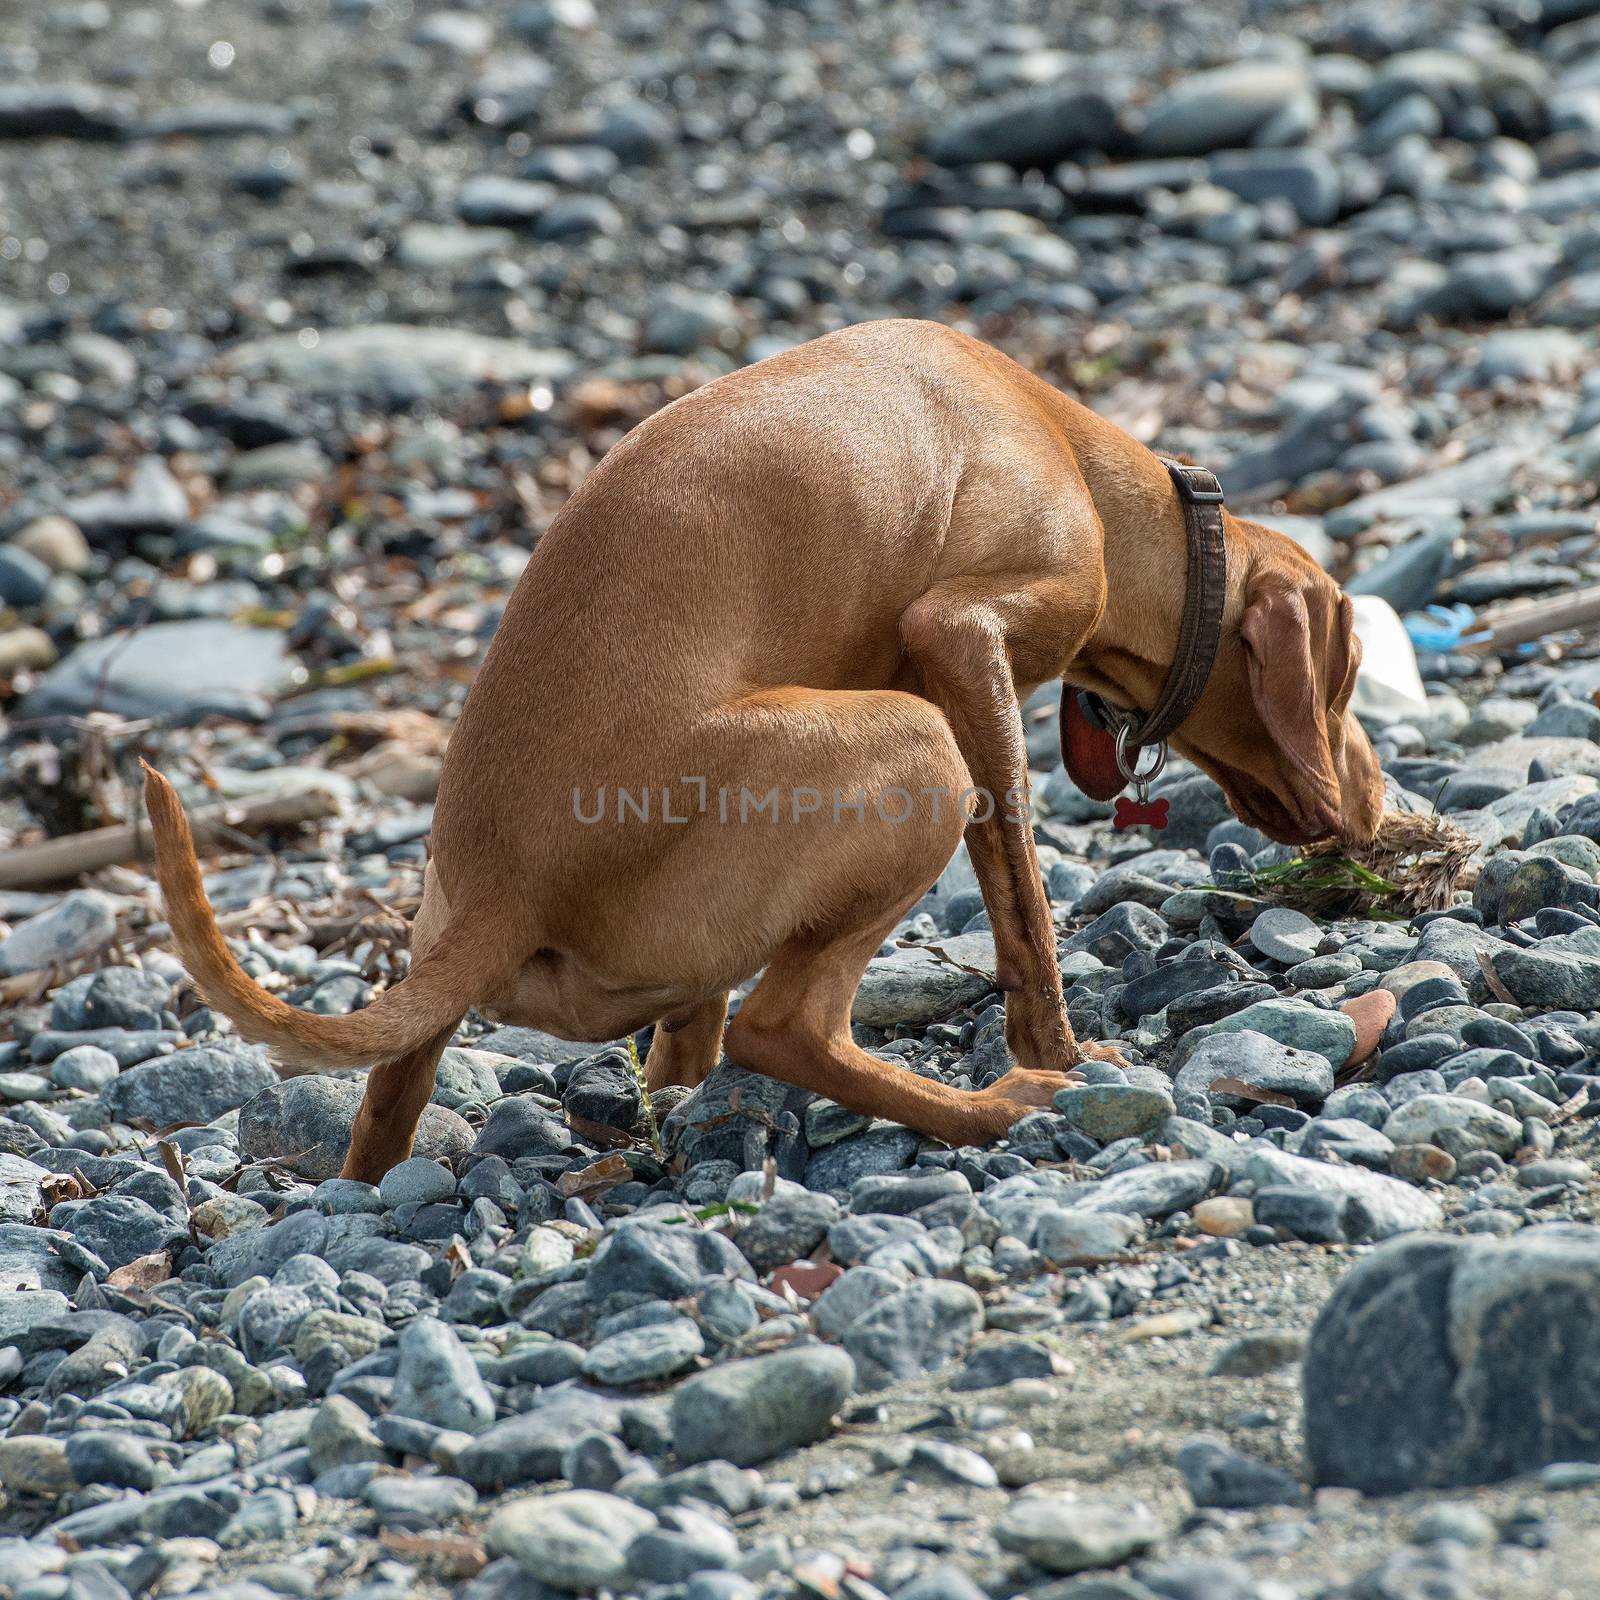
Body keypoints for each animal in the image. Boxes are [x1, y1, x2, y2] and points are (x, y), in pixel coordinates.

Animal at [144, 318, 1382, 1184]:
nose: (1382, 809)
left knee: (406, 1101)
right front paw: (1060, 1054)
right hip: (917, 752)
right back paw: (992, 1110)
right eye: (1352, 669)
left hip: (443, 950)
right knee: (782, 1029)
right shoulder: (960, 646)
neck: (1082, 464)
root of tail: (505, 886)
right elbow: (1024, 909)